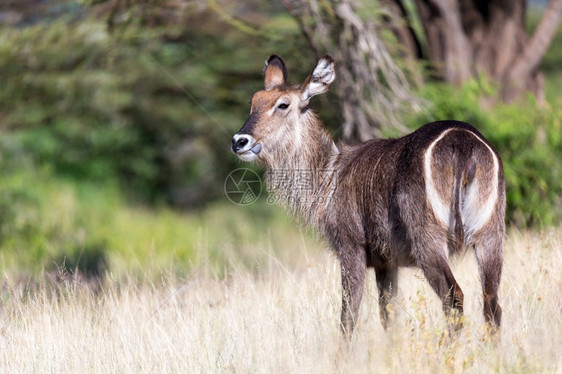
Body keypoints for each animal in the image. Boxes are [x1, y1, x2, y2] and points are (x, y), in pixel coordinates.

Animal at [229, 54, 504, 338]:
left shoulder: (351, 246)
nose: (239, 141)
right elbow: (389, 317)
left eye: (283, 104)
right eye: (253, 102)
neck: (329, 175)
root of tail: (463, 143)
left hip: (429, 240)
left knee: (454, 298)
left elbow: (348, 316)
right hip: (490, 234)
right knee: (491, 303)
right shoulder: (386, 262)